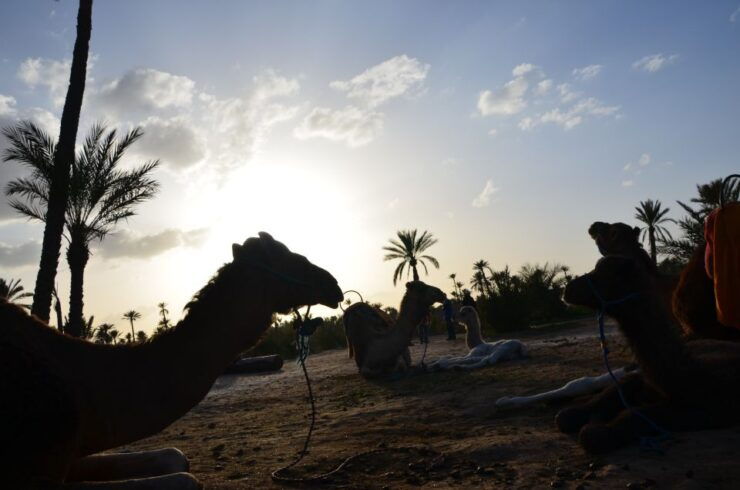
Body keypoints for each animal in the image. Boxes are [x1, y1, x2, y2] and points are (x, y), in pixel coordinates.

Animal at [556, 255, 740, 454]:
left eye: (604, 274)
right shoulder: (644, 380)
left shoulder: (708, 408)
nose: (568, 289)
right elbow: (568, 415)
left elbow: (606, 429)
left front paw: (597, 424)